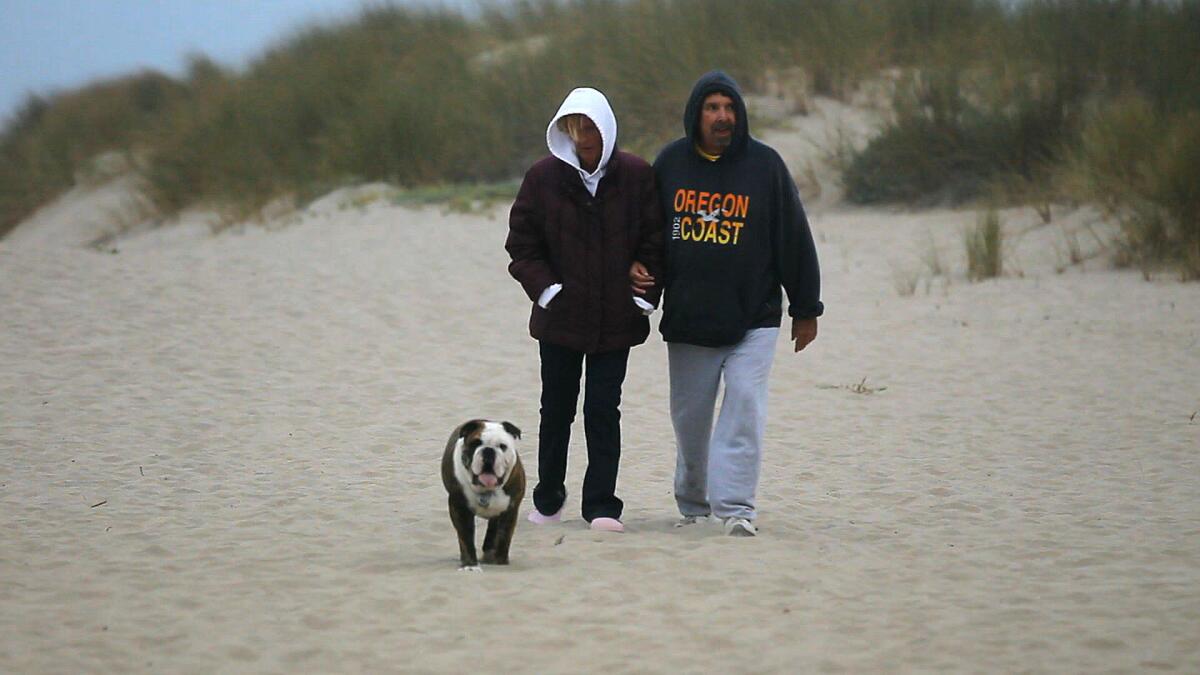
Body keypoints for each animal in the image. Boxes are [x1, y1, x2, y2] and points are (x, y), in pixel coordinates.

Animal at [436, 420, 520, 566]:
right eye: (475, 443)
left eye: (502, 446)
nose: (488, 450)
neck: (486, 490)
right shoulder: (460, 510)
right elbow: (466, 538)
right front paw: (470, 563)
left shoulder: (510, 510)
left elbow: (504, 537)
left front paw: (501, 561)